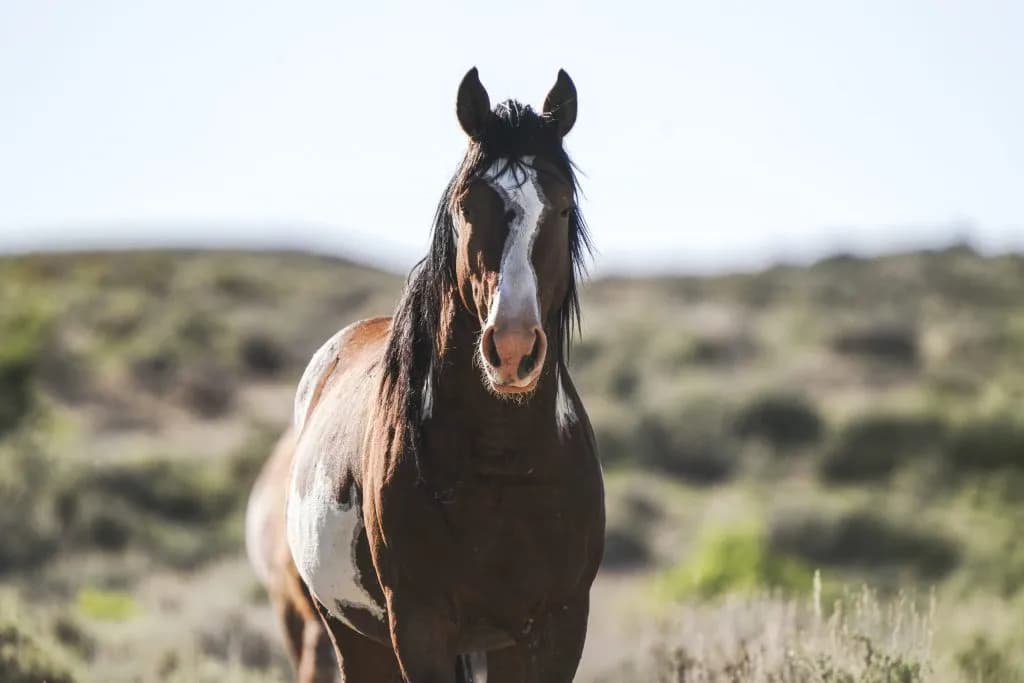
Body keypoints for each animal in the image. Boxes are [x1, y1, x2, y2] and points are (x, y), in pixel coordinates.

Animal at [246, 67, 605, 683]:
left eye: (560, 207)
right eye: (467, 206)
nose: (512, 348)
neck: (501, 463)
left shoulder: (556, 626)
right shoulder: (418, 626)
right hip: (348, 634)